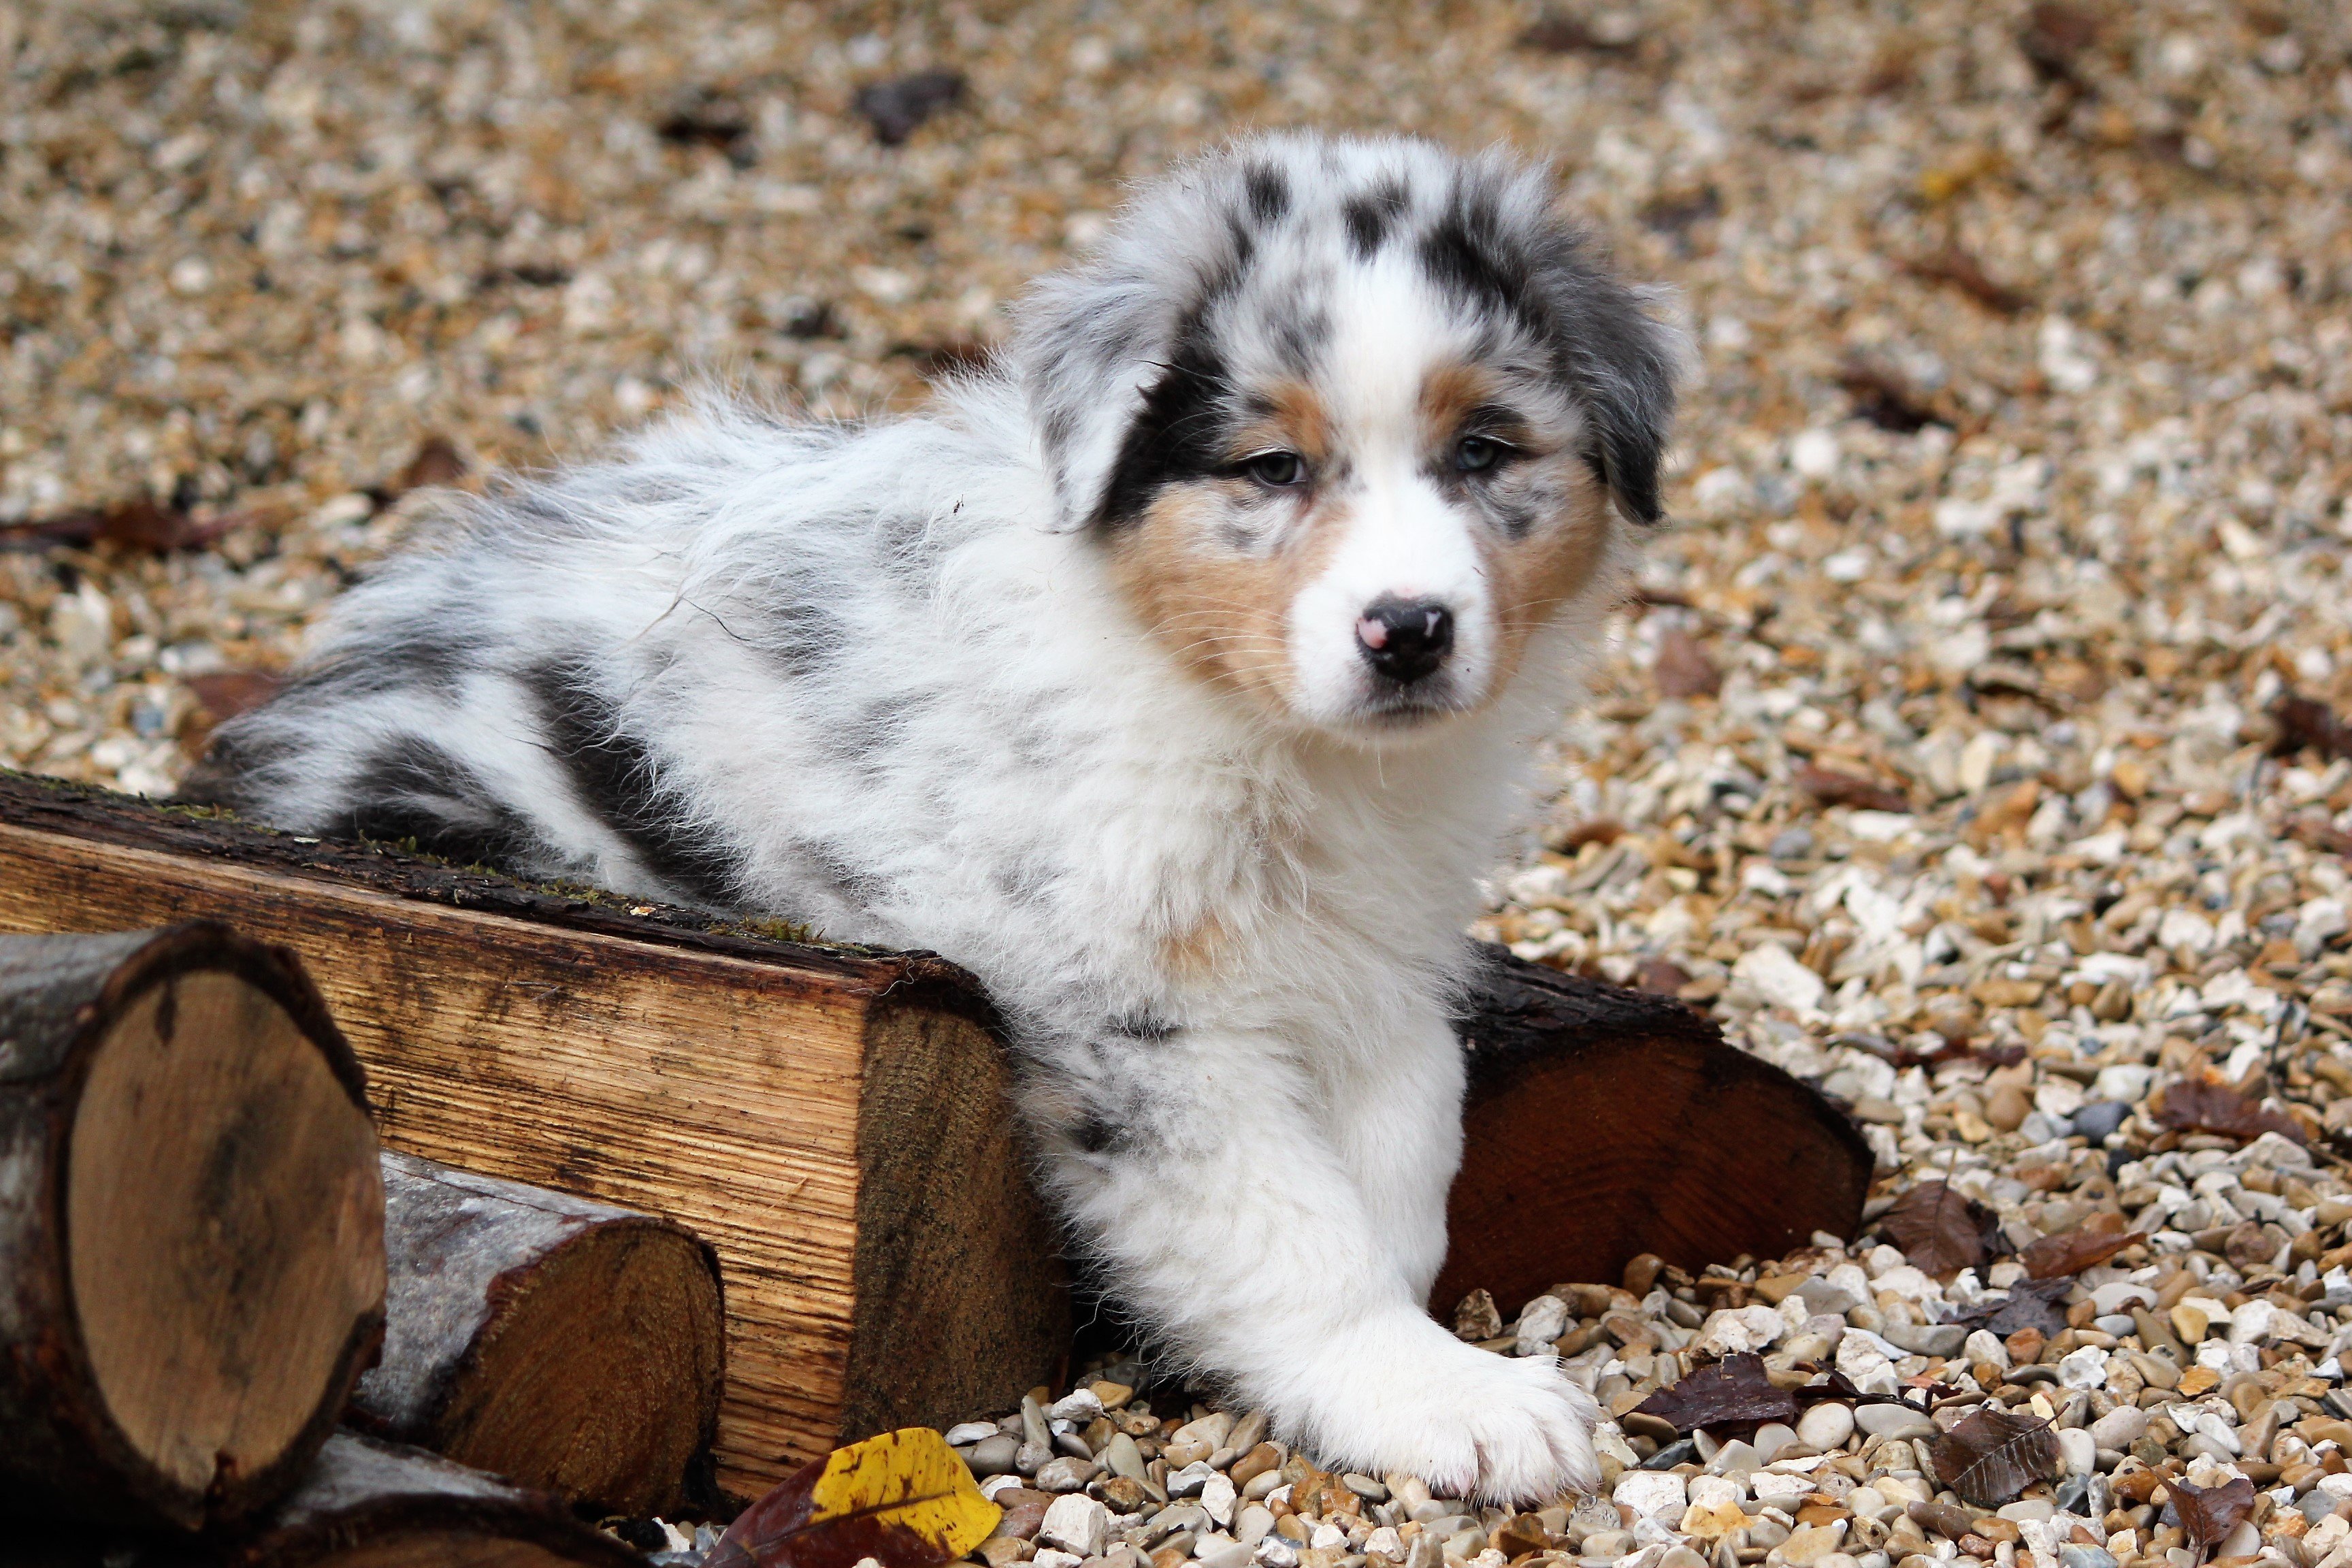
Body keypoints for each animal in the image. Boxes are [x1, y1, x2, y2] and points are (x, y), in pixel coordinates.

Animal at [193, 129, 1684, 1504]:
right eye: (1270, 468)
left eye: (1484, 450)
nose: (1409, 630)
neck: (1270, 737)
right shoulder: (1129, 1014)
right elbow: (1289, 1225)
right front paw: (1440, 1397)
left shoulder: (1375, 948)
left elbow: (1412, 1130)